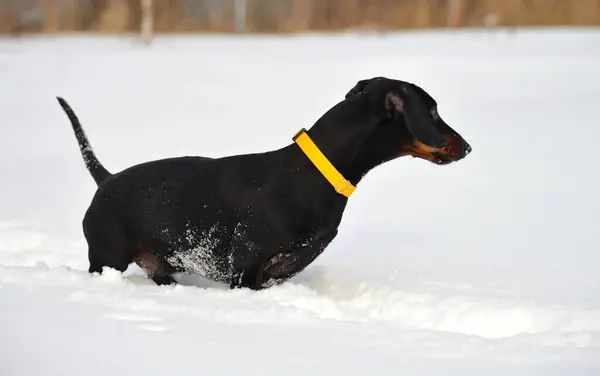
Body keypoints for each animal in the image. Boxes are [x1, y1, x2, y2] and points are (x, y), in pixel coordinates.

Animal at [56, 75, 468, 288]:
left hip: (160, 269)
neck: (310, 176)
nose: (467, 147)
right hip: (107, 259)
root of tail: (106, 180)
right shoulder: (245, 269)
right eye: (432, 111)